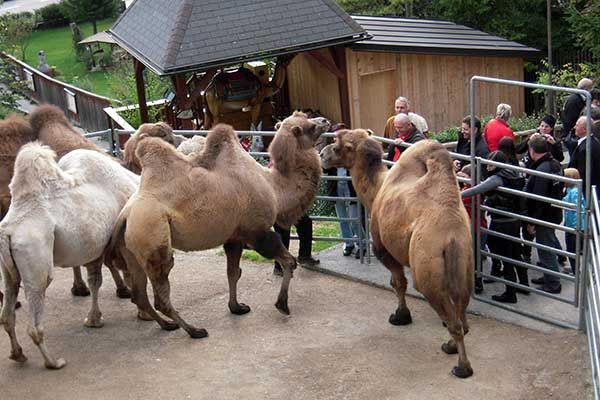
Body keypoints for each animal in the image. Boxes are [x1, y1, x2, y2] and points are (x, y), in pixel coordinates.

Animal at [0, 143, 139, 368]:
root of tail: (8, 232)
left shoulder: (95, 249)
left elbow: (95, 280)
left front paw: (94, 319)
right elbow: (121, 274)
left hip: (7, 268)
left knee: (7, 312)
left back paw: (18, 354)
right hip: (35, 256)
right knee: (35, 320)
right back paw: (53, 362)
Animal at [104, 111, 328, 338]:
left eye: (304, 116)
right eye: (309, 126)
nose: (325, 121)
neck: (274, 188)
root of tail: (125, 215)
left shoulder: (234, 236)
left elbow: (233, 273)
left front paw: (237, 307)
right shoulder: (257, 232)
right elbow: (289, 262)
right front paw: (282, 305)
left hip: (132, 248)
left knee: (139, 294)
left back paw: (167, 325)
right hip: (152, 236)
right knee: (161, 291)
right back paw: (194, 330)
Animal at [322, 130, 476, 378]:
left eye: (337, 145)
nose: (322, 154)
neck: (377, 188)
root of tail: (451, 235)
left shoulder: (383, 247)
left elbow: (398, 283)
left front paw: (400, 316)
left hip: (427, 264)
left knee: (446, 312)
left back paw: (461, 366)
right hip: (465, 260)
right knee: (462, 309)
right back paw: (452, 346)